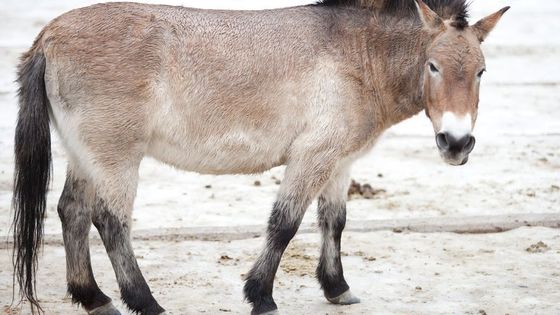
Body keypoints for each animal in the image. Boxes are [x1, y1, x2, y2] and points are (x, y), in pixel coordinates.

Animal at [13, 0, 510, 314]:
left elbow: (334, 223)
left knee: (72, 212)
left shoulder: (339, 162)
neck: (359, 52)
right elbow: (284, 224)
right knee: (109, 221)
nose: (456, 143)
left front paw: (337, 289)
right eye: (433, 66)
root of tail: (49, 36)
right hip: (116, 157)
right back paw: (145, 303)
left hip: (86, 156)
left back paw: (94, 299)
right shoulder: (313, 156)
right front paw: (262, 297)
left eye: (482, 71)